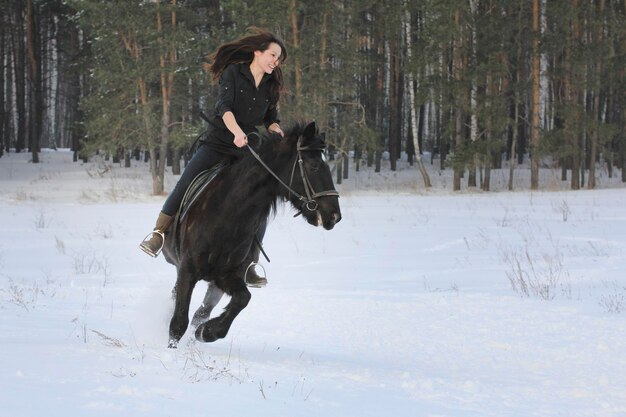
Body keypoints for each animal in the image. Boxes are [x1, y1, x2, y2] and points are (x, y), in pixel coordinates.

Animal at [158, 121, 338, 348]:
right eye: (314, 166)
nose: (334, 215)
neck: (227, 214)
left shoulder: (227, 275)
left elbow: (243, 299)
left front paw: (208, 332)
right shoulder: (187, 270)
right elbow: (178, 322)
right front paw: (173, 350)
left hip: (214, 283)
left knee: (203, 311)